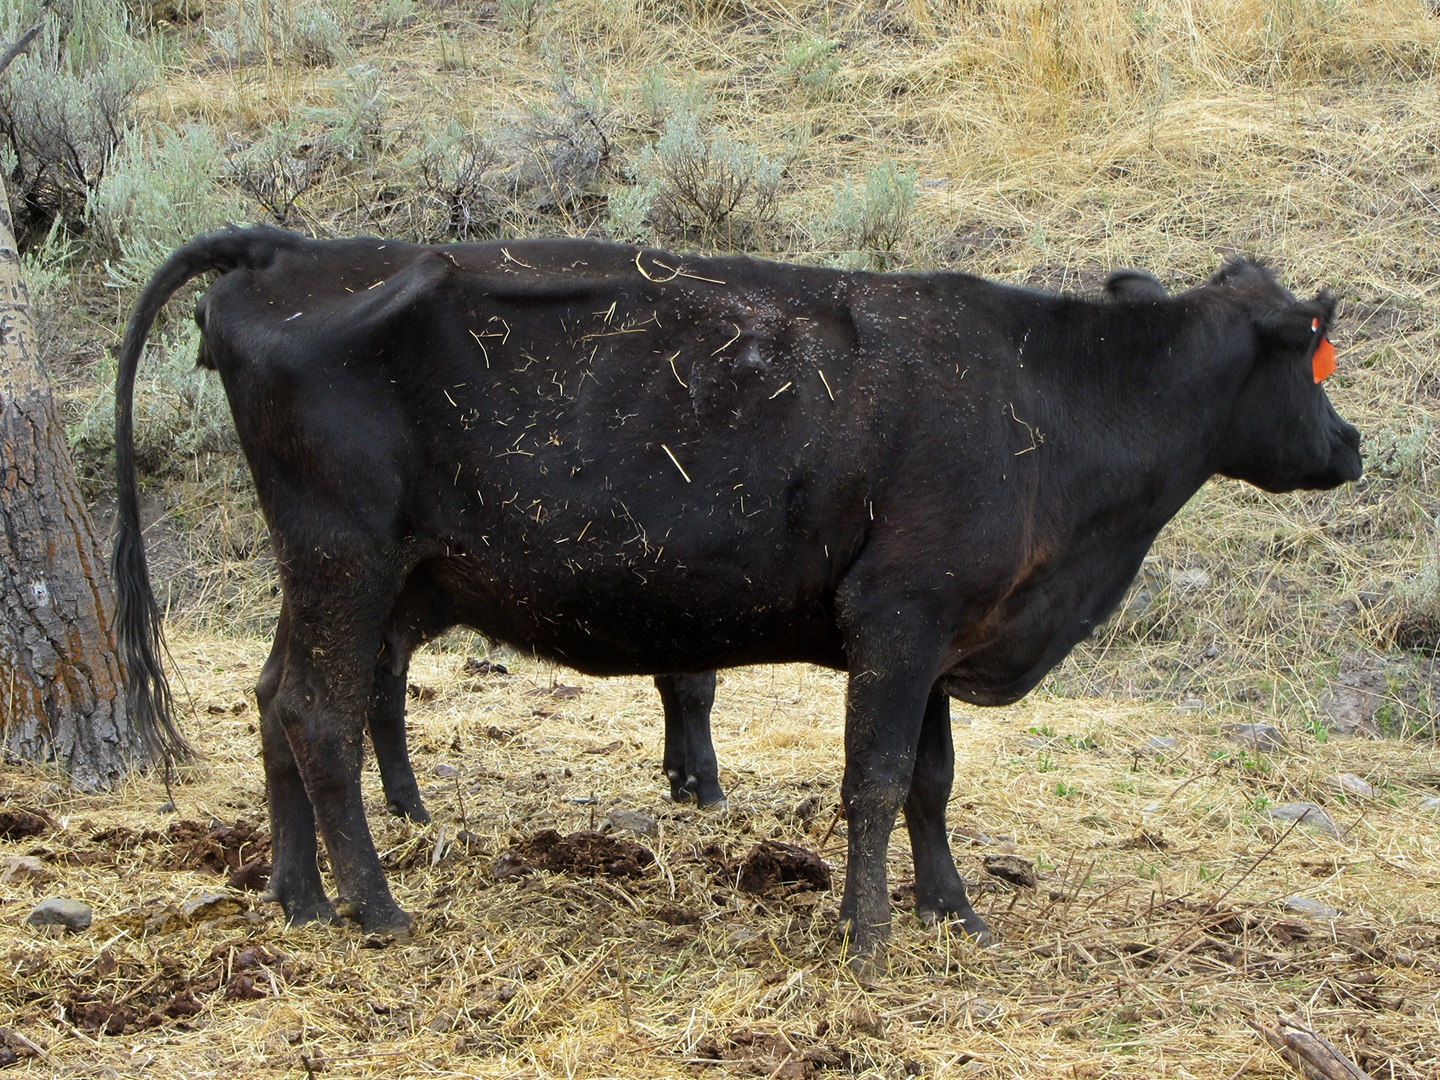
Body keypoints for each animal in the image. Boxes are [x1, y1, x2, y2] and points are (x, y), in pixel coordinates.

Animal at [112, 226, 1361, 956]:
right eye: (1317, 356)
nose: (1352, 447)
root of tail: (285, 250)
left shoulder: (945, 629)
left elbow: (933, 784)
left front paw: (953, 910)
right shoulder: (899, 617)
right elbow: (874, 783)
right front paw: (867, 938)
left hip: (335, 571)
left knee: (273, 701)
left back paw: (298, 897)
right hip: (349, 557)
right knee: (318, 715)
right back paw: (376, 909)